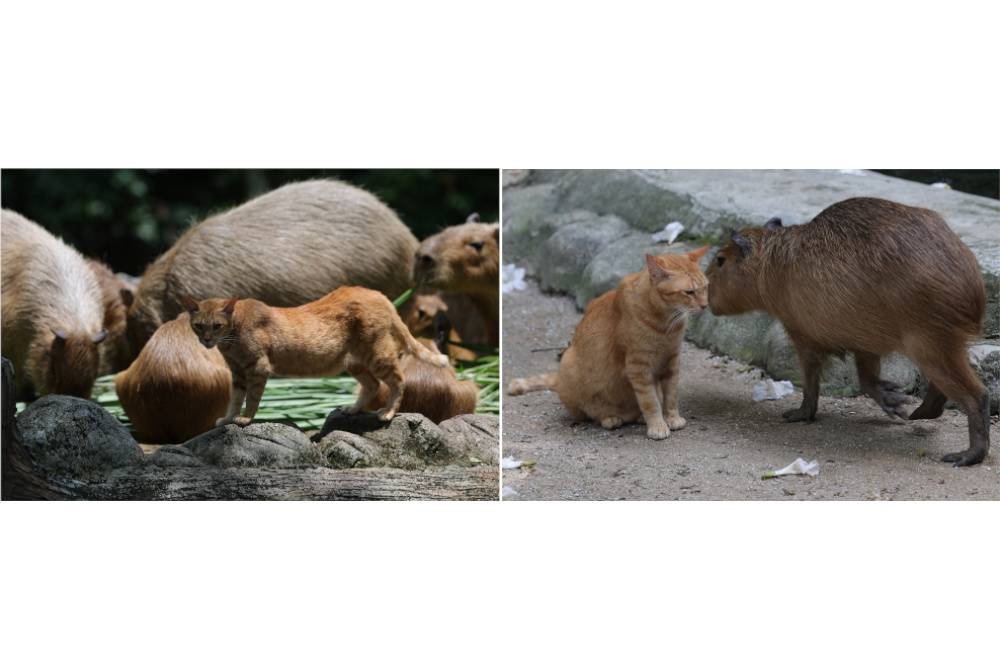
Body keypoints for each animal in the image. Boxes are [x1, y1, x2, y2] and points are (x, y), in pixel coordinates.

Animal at [182, 288, 448, 426]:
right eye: (198, 326)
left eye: (216, 326)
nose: (206, 340)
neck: (231, 339)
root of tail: (379, 295)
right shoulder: (237, 373)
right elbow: (235, 398)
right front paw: (228, 418)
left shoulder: (258, 368)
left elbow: (252, 399)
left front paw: (245, 419)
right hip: (354, 361)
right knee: (372, 385)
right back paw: (352, 409)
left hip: (378, 355)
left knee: (399, 380)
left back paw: (388, 412)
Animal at [508, 249, 712, 444]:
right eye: (689, 292)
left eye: (705, 287)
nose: (705, 305)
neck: (666, 323)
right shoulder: (638, 367)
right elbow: (650, 401)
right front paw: (657, 425)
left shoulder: (672, 360)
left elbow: (671, 396)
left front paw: (671, 418)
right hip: (568, 363)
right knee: (588, 415)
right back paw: (610, 418)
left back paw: (637, 417)